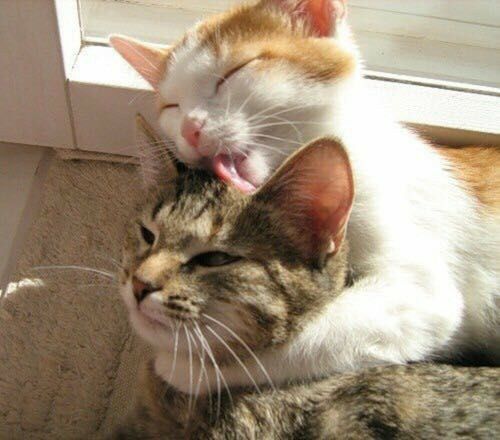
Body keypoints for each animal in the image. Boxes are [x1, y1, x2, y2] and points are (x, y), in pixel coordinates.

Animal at [110, 0, 500, 392]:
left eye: (231, 73)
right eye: (171, 106)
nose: (190, 128)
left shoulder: (421, 291)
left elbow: (309, 335)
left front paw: (187, 366)